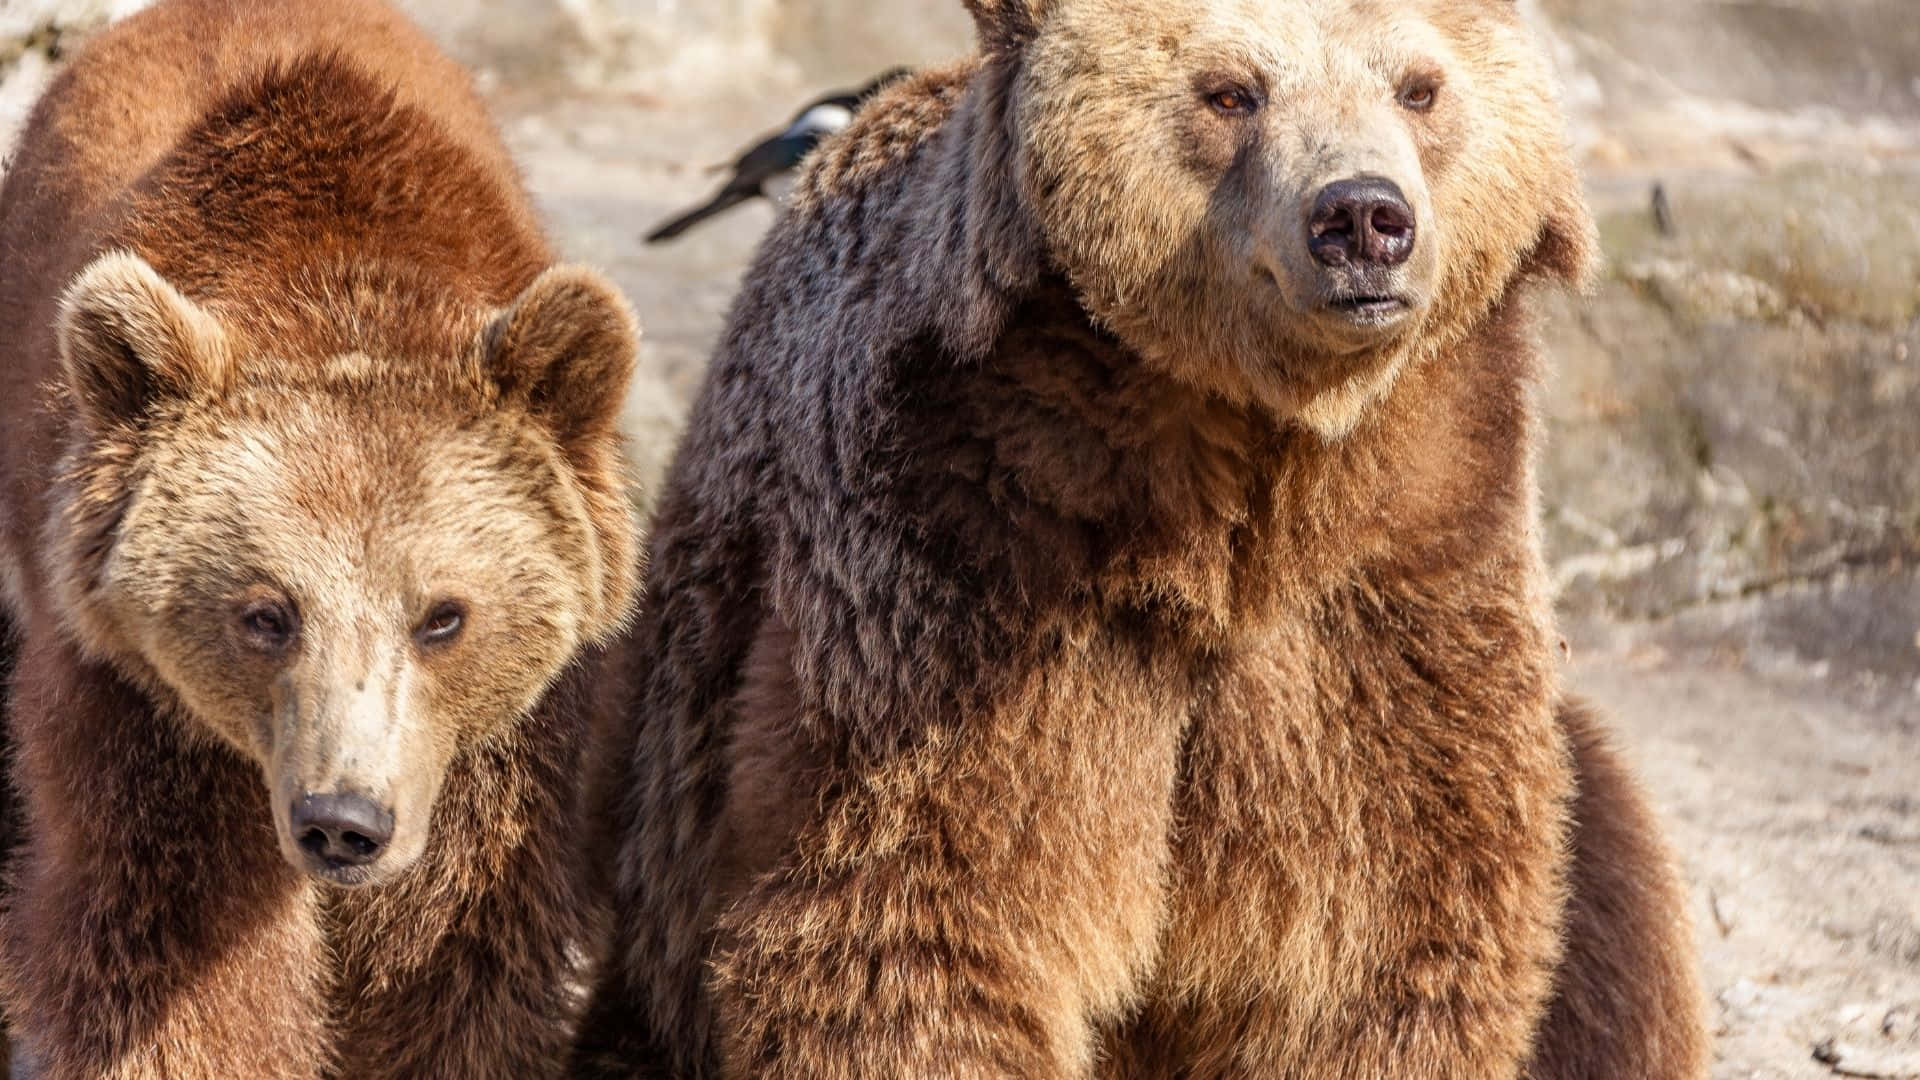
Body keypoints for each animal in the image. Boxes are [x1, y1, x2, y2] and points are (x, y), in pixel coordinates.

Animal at [0, 1, 643, 1077]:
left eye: (444, 615)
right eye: (265, 612)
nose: (344, 823)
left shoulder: (495, 757)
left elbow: (454, 959)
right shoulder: (147, 714)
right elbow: (176, 959)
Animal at [574, 0, 1710, 1077]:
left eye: (1419, 86)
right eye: (1231, 91)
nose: (1361, 216)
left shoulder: (1408, 565)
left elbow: (1390, 915)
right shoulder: (967, 557)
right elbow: (919, 908)